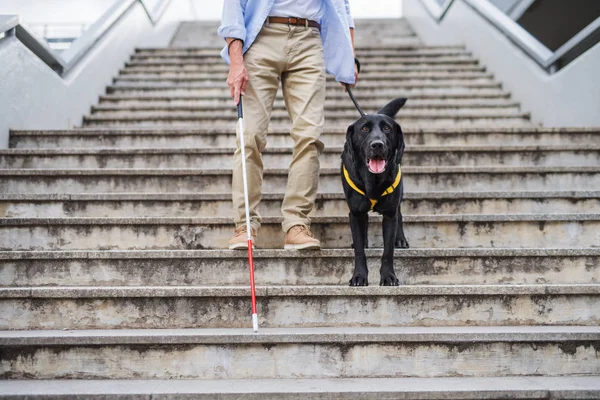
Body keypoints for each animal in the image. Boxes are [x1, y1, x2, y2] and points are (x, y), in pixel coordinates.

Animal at [342, 98, 408, 286]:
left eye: (387, 128)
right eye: (364, 129)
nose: (377, 144)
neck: (373, 180)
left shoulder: (390, 214)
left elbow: (388, 251)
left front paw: (389, 276)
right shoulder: (355, 213)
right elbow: (359, 251)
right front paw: (358, 276)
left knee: (400, 214)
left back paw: (400, 239)